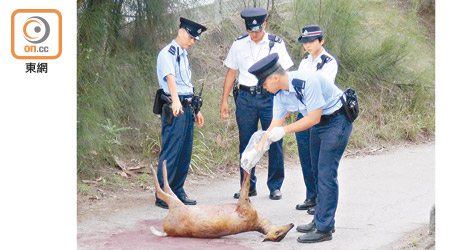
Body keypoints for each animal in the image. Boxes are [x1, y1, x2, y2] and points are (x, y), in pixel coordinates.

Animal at [149, 161, 294, 241]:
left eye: (278, 233)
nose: (292, 224)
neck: (258, 221)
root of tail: (166, 232)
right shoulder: (246, 203)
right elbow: (245, 184)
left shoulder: (244, 204)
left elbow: (246, 184)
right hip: (177, 205)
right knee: (166, 189)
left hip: (177, 206)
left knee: (163, 190)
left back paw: (155, 166)